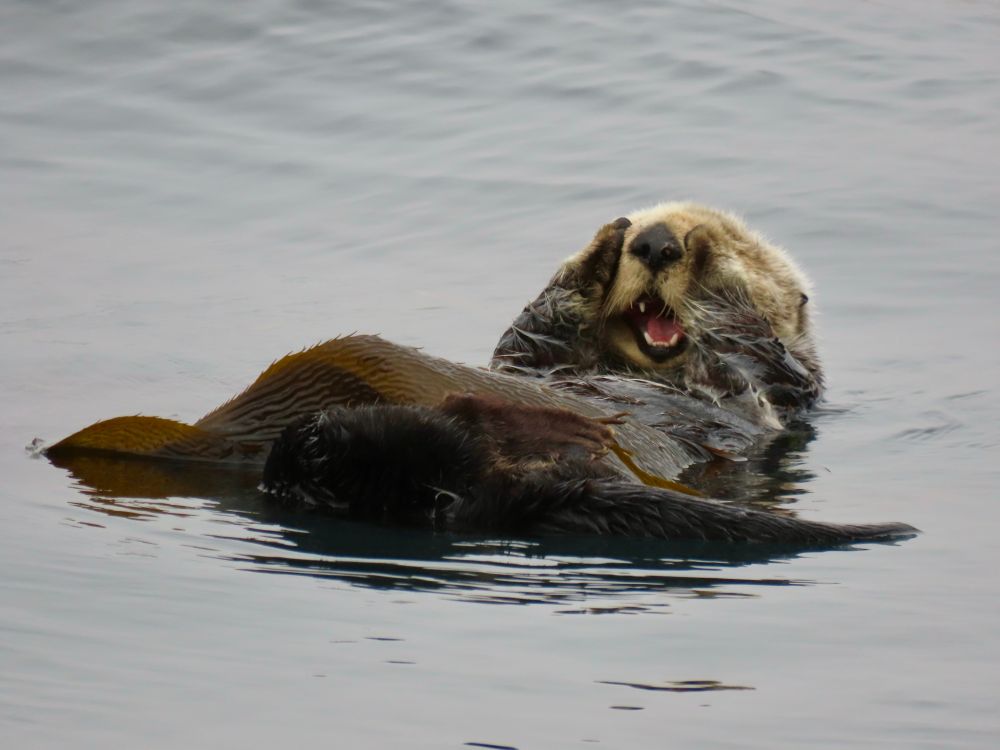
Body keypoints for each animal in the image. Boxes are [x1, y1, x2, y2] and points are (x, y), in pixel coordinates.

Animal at [46, 203, 915, 545]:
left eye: (725, 246)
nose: (655, 242)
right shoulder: (532, 356)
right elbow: (533, 330)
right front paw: (600, 250)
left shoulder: (765, 375)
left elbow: (747, 336)